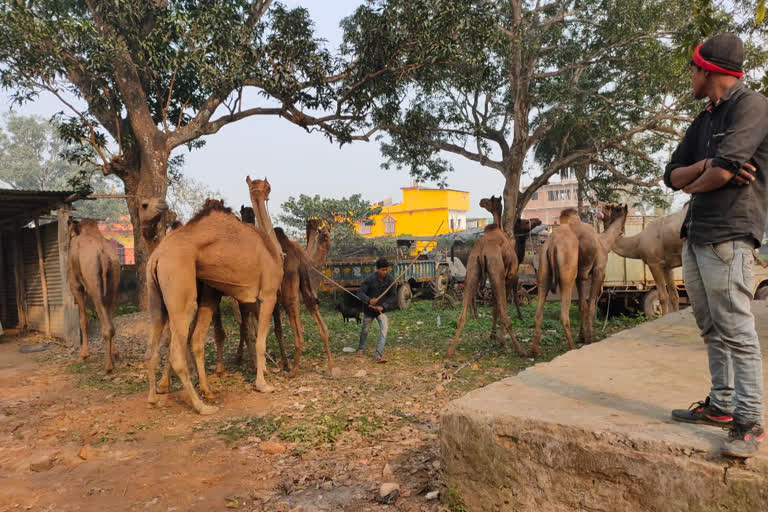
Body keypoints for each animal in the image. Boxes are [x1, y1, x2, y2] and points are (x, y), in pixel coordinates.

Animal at [67, 217, 121, 372]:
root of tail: (104, 257)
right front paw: (116, 354)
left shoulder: (76, 285)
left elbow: (83, 321)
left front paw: (83, 355)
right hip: (112, 288)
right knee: (111, 322)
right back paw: (112, 359)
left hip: (95, 289)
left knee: (106, 326)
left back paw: (108, 366)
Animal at [145, 178, 284, 414]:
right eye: (269, 188)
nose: (268, 193)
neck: (272, 250)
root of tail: (157, 256)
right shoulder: (267, 295)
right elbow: (260, 340)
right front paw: (263, 384)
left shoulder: (247, 299)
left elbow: (252, 333)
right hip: (181, 291)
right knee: (178, 350)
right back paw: (202, 406)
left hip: (157, 300)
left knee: (158, 346)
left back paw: (157, 397)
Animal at [440, 197, 524, 360]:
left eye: (490, 200)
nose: (481, 201)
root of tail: (482, 251)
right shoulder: (508, 278)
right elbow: (500, 308)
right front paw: (499, 340)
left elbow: (494, 307)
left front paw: (492, 337)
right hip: (497, 272)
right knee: (505, 315)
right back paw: (517, 349)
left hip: (472, 269)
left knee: (462, 315)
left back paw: (449, 351)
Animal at [528, 203, 632, 356]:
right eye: (624, 214)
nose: (622, 231)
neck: (603, 242)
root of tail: (552, 244)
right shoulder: (598, 271)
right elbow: (591, 306)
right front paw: (590, 338)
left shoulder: (581, 277)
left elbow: (582, 306)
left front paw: (582, 337)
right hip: (567, 273)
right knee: (564, 314)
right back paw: (571, 347)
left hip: (543, 271)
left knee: (538, 312)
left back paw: (534, 351)